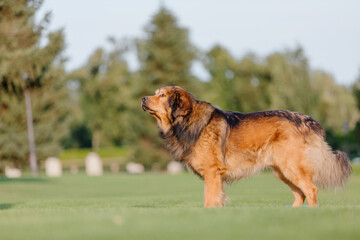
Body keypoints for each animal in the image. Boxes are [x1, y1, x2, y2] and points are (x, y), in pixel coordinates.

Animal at [141, 86, 352, 208]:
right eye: (155, 94)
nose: (143, 98)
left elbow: (209, 200)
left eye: (162, 95)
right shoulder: (216, 177)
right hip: (283, 171)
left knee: (311, 191)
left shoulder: (212, 172)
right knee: (300, 194)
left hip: (292, 167)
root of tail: (309, 121)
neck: (187, 121)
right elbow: (217, 199)